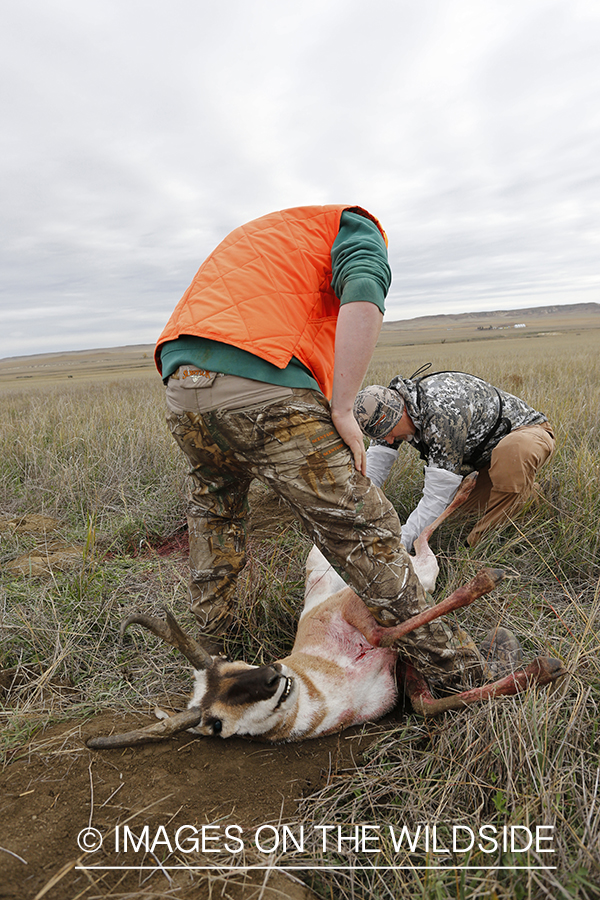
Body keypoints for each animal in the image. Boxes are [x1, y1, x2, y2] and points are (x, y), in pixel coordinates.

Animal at [86, 474, 564, 748]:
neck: (333, 680)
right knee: (421, 539)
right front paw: (542, 668)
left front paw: (486, 584)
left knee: (418, 534)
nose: (274, 676)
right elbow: (426, 704)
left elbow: (384, 635)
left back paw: (472, 510)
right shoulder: (405, 670)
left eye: (231, 664)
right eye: (214, 722)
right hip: (421, 572)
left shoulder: (361, 610)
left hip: (408, 573)